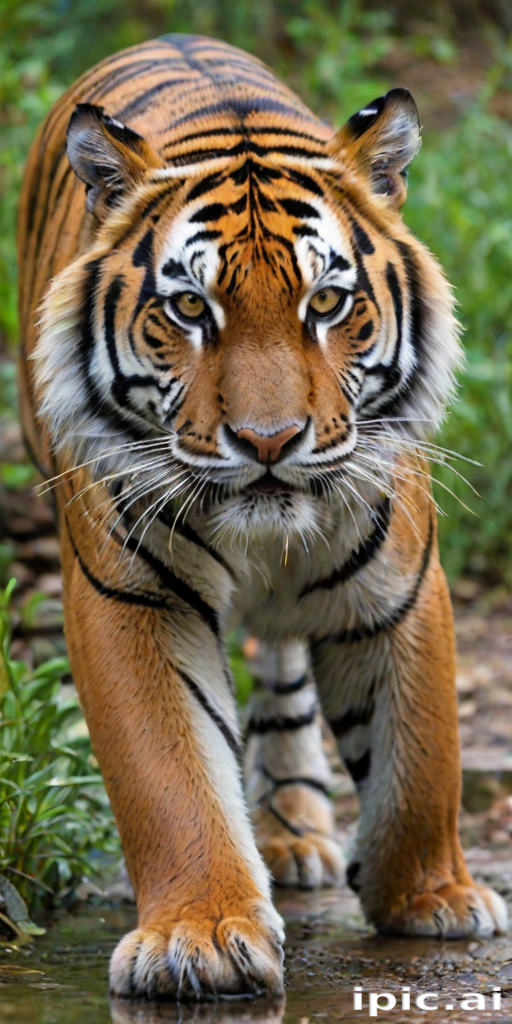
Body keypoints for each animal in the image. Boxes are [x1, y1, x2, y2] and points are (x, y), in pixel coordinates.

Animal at [17, 33, 507, 1001]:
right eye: (188, 308)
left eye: (326, 303)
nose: (270, 441)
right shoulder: (133, 599)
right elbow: (169, 774)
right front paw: (199, 935)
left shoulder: (398, 587)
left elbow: (419, 761)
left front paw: (434, 899)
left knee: (283, 672)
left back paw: (292, 832)